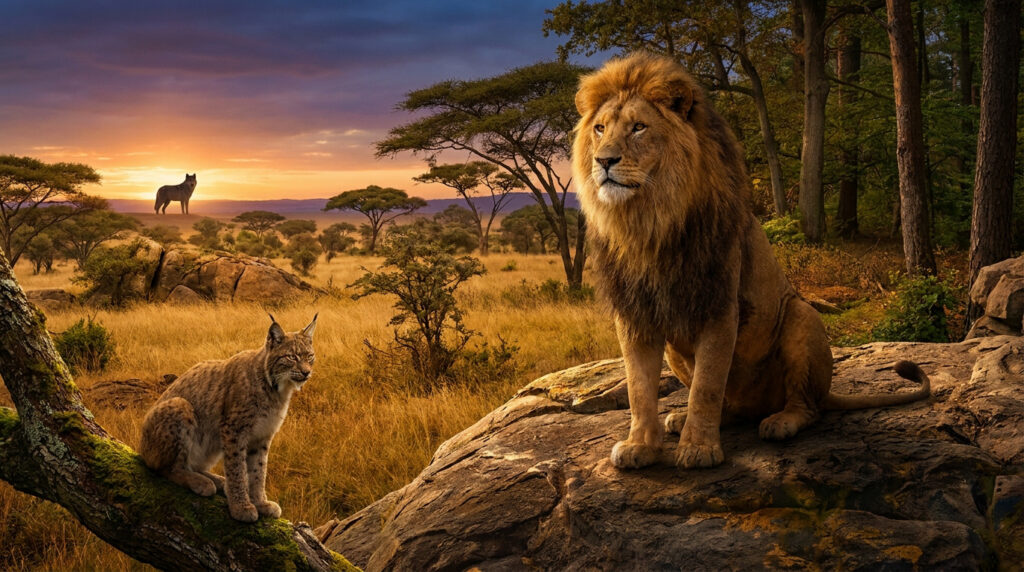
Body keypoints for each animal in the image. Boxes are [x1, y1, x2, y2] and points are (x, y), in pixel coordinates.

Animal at [572, 53, 931, 470]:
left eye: (639, 128)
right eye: (599, 129)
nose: (603, 160)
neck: (649, 221)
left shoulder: (719, 306)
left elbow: (707, 385)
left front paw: (699, 449)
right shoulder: (635, 313)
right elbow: (639, 388)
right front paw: (640, 446)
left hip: (802, 317)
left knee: (807, 406)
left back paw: (780, 422)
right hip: (679, 354)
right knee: (730, 405)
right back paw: (683, 418)